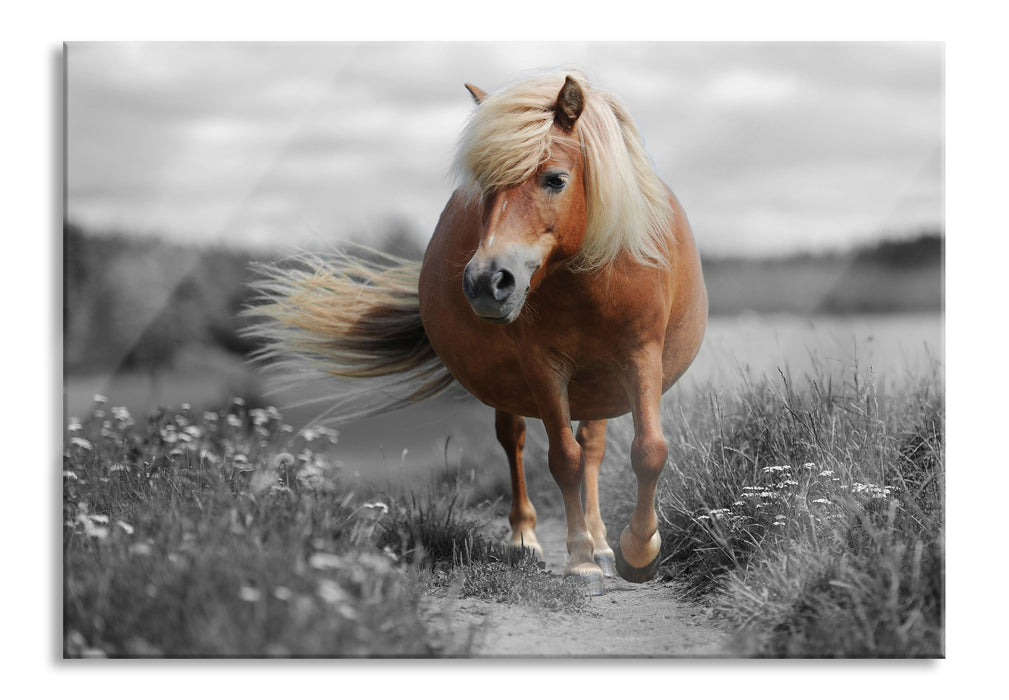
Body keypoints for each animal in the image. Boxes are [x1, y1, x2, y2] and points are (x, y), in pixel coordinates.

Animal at [247, 72, 706, 597]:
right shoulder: (542, 367)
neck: (587, 276)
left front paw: (637, 552)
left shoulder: (640, 356)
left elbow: (648, 450)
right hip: (514, 386)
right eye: (485, 187)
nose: (488, 282)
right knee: (516, 442)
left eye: (555, 179)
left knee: (593, 446)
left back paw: (604, 543)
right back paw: (526, 540)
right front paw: (580, 560)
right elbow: (563, 459)